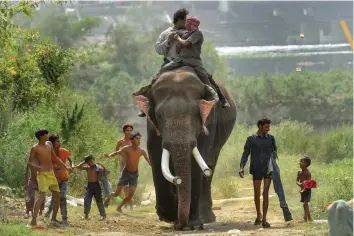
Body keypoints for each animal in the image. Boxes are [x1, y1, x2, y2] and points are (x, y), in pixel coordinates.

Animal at [133, 66, 235, 230]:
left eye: (196, 114)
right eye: (159, 116)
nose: (178, 180)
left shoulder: (209, 119)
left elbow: (197, 159)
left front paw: (192, 225)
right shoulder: (151, 125)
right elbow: (155, 155)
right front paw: (168, 217)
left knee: (210, 165)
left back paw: (206, 217)